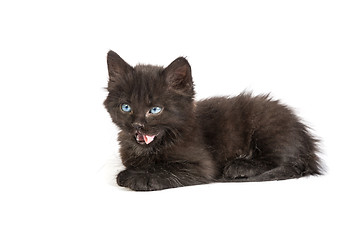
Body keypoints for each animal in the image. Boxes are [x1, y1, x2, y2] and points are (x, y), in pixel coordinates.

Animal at [102, 50, 322, 191]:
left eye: (155, 110)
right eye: (126, 107)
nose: (137, 125)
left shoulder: (202, 165)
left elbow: (167, 168)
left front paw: (138, 177)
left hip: (267, 127)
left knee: (282, 161)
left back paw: (240, 166)